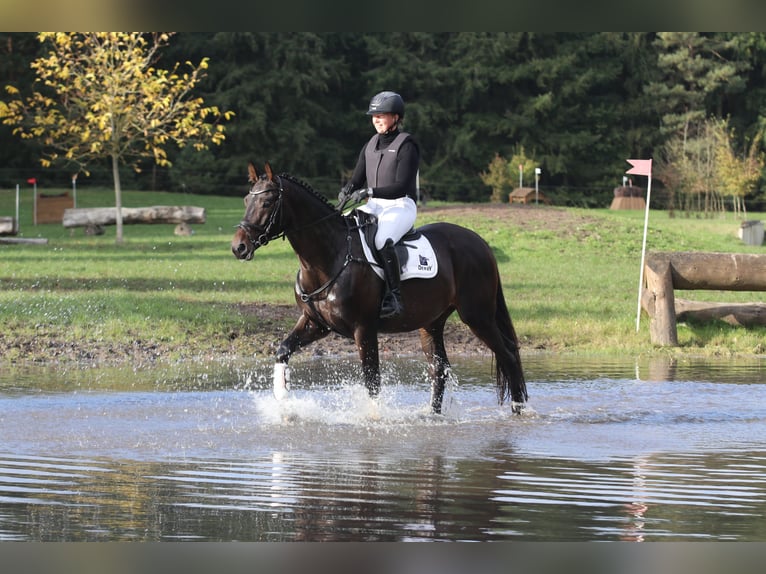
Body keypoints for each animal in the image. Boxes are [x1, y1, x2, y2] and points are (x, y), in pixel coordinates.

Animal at [230, 162, 528, 414]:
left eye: (267, 201)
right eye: (245, 200)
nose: (238, 247)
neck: (330, 256)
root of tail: (480, 243)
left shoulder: (364, 329)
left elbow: (372, 381)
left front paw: (374, 420)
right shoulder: (316, 323)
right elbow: (283, 350)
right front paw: (283, 402)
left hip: (477, 316)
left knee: (508, 355)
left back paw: (518, 410)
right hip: (431, 324)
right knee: (440, 369)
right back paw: (432, 416)